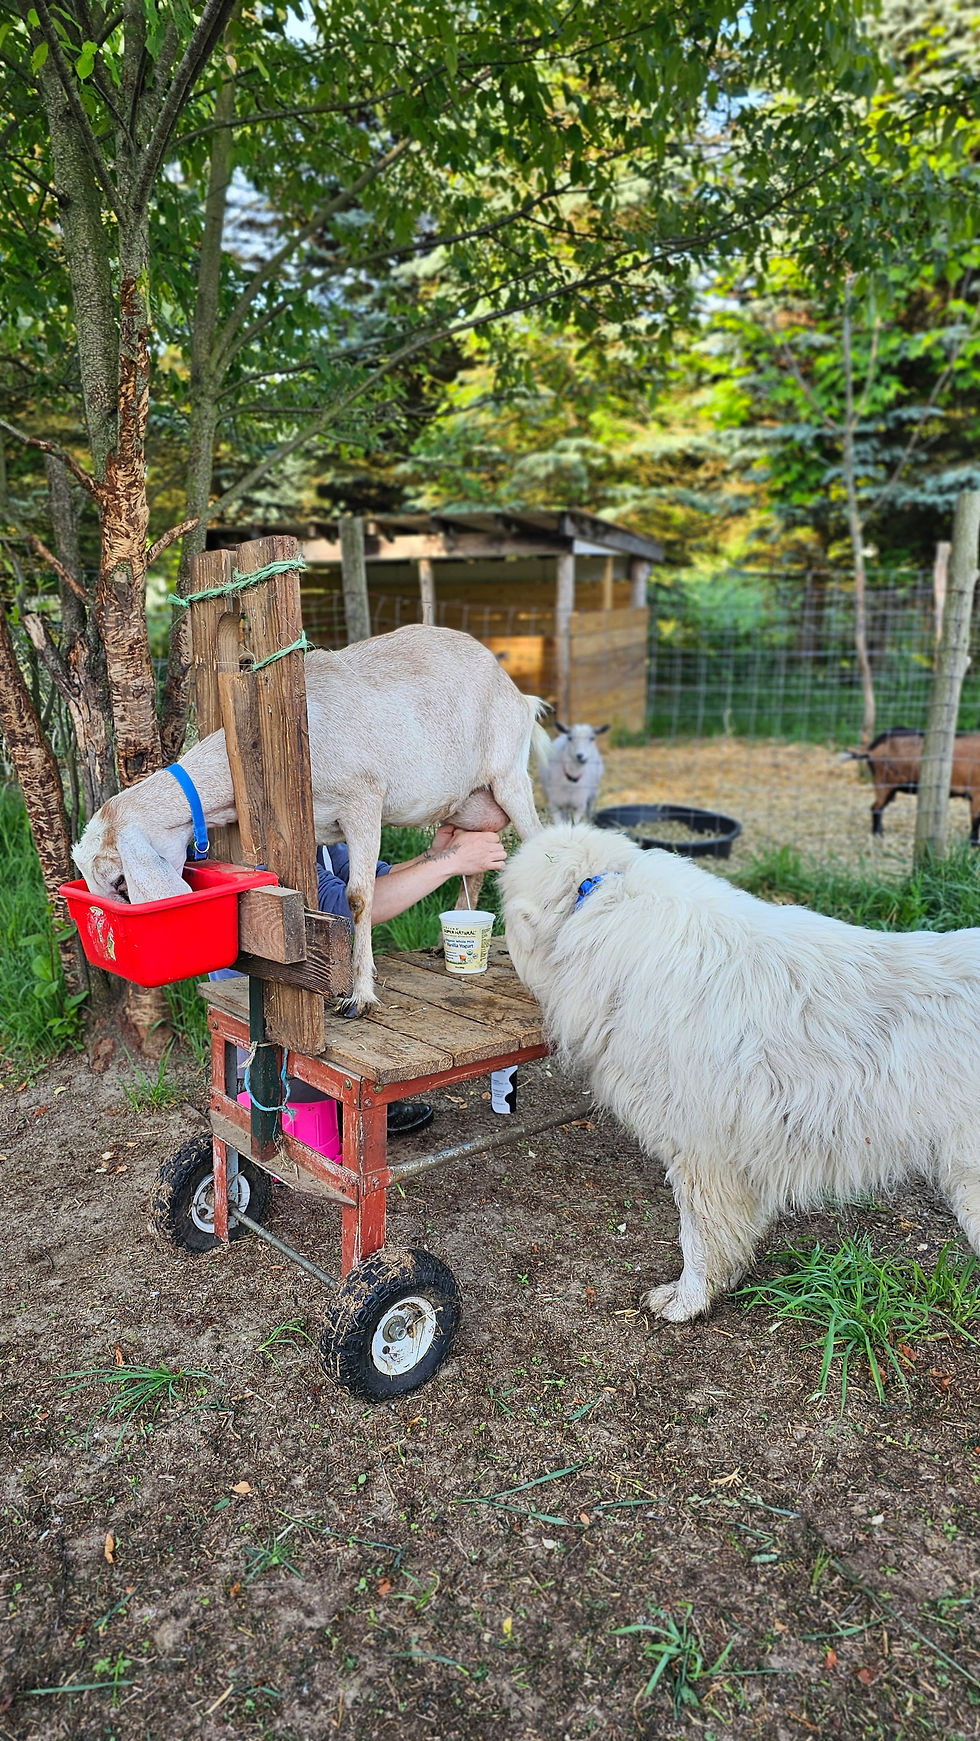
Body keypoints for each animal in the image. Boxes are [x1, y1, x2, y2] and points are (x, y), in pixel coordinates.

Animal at [73, 624, 547, 1011]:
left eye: (120, 882)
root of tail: (520, 695)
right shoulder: (315, 829)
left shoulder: (363, 799)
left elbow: (359, 897)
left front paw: (360, 994)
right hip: (467, 802)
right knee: (476, 863)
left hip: (509, 775)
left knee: (537, 844)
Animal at [844, 726, 980, 840]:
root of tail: (871, 749)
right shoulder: (976, 793)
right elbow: (976, 819)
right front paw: (973, 843)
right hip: (884, 781)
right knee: (876, 807)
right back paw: (878, 834)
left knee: (879, 807)